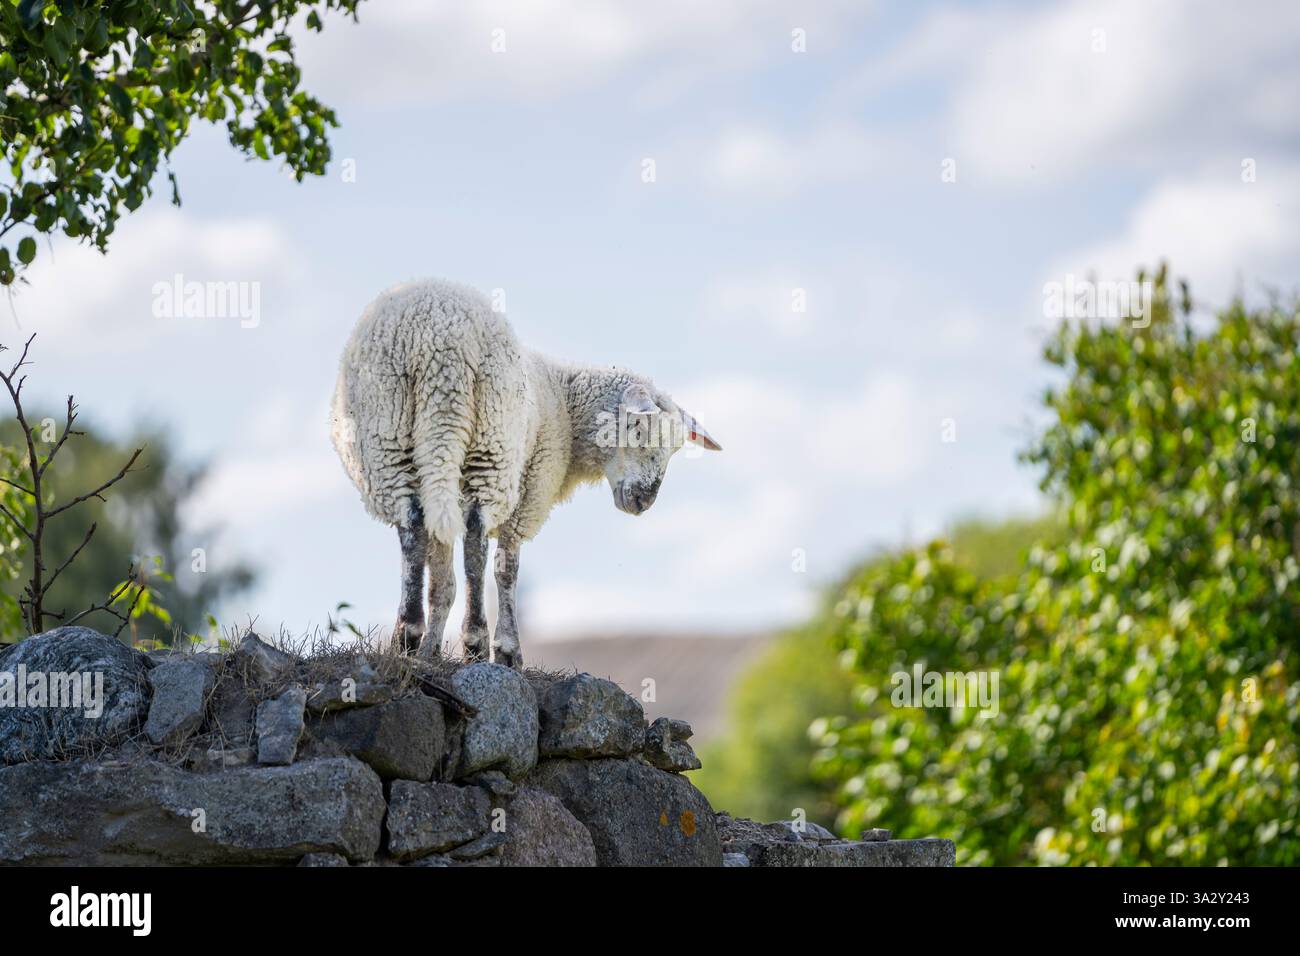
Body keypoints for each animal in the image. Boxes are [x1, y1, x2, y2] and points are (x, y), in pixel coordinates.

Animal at [329, 278, 721, 668]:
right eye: (636, 428)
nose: (643, 501)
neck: (566, 403)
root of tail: (438, 344)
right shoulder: (530, 489)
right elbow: (506, 568)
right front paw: (506, 649)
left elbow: (442, 576)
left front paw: (430, 652)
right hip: (489, 439)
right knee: (475, 536)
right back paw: (474, 639)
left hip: (389, 434)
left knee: (412, 526)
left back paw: (408, 634)